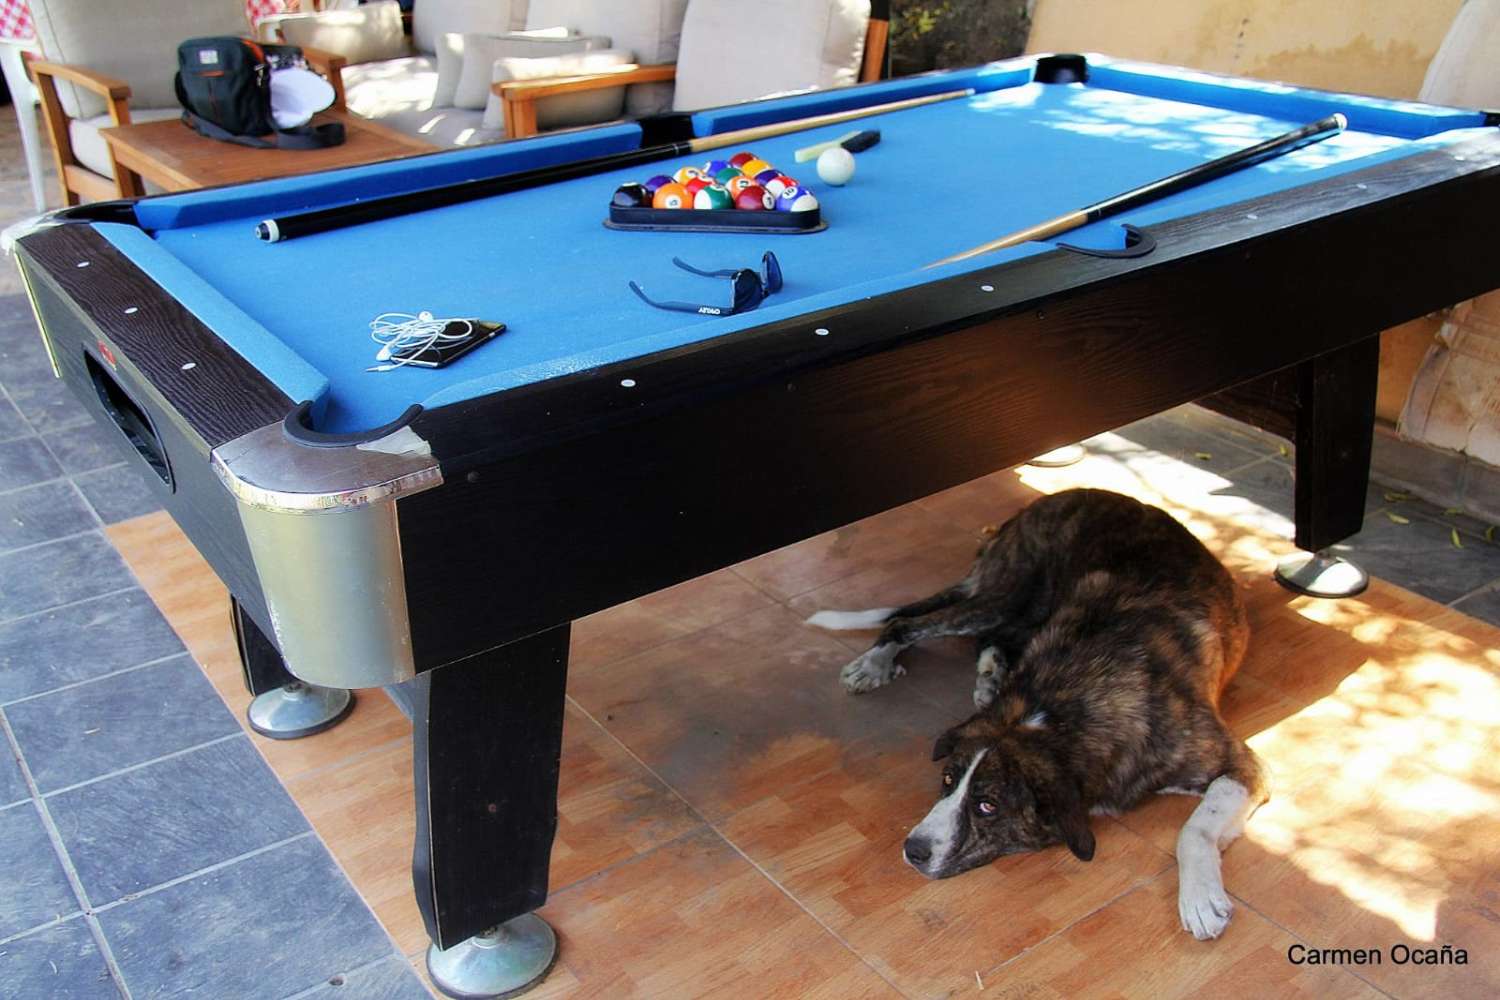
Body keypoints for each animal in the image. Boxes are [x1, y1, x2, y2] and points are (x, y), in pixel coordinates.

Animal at [810, 488, 1266, 941]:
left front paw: (1199, 899)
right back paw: (877, 664)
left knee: (981, 635)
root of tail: (1038, 505)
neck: (1059, 708)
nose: (912, 849)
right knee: (908, 622)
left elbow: (1194, 830)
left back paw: (989, 676)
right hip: (1008, 598)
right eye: (947, 781)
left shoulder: (1238, 764)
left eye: (987, 806)